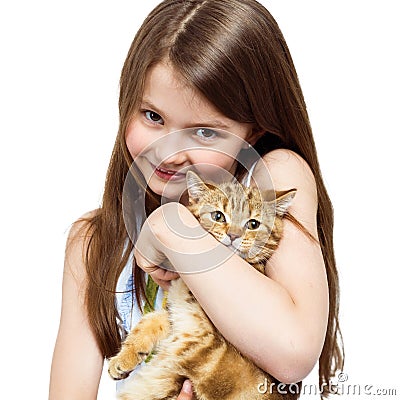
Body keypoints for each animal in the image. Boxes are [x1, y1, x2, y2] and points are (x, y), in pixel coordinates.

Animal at [108, 172, 296, 400]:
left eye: (253, 224)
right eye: (218, 216)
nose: (233, 235)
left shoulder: (208, 338)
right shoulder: (178, 314)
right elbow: (150, 320)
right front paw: (124, 358)